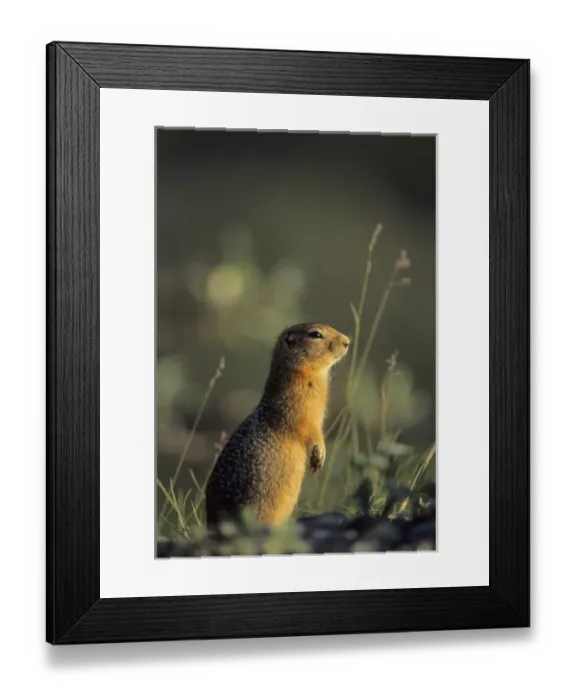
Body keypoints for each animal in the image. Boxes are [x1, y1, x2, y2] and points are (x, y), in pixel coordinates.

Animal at [205, 322, 350, 528]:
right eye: (315, 334)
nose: (347, 341)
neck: (305, 374)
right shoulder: (296, 409)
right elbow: (309, 430)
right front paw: (318, 456)